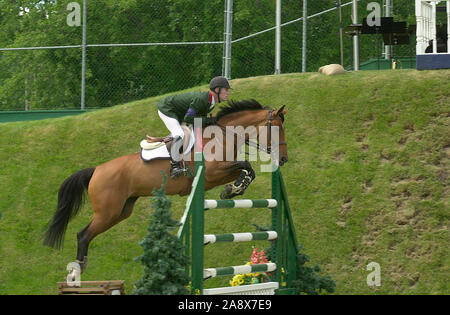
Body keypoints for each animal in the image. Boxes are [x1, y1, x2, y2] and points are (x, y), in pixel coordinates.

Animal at [43, 99, 288, 274]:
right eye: (277, 129)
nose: (284, 159)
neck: (224, 136)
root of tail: (96, 170)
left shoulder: (218, 174)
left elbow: (247, 170)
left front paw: (233, 189)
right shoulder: (211, 173)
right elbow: (246, 165)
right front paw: (234, 189)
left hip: (121, 211)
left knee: (88, 233)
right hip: (107, 211)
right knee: (83, 234)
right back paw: (78, 269)